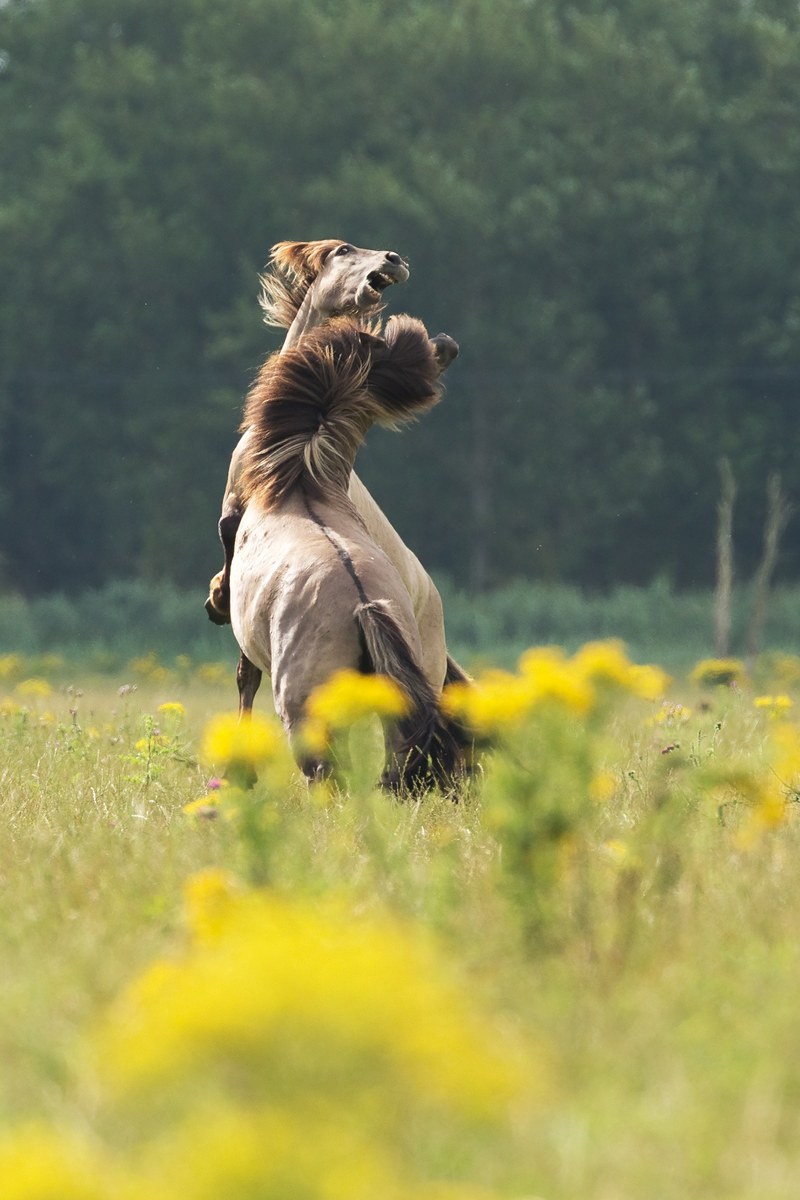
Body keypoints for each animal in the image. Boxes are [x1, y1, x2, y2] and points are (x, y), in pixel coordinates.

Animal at [228, 313, 462, 791]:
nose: (448, 344)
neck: (301, 485)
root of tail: (364, 605)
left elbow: (245, 675)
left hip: (306, 713)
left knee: (326, 773)